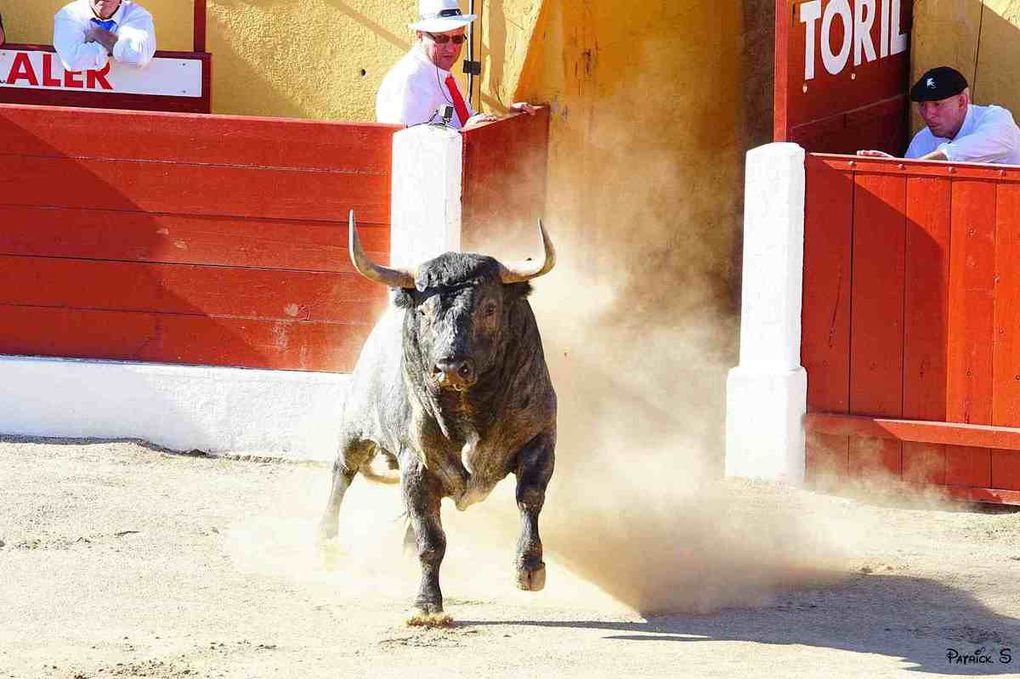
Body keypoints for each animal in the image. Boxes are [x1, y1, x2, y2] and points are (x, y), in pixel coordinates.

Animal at [318, 212, 558, 619]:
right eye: (425, 310)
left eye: (489, 307)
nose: (449, 367)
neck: (471, 409)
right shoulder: (417, 464)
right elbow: (432, 541)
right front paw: (427, 605)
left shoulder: (540, 439)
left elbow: (529, 498)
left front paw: (529, 569)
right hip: (354, 429)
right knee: (342, 473)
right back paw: (326, 541)